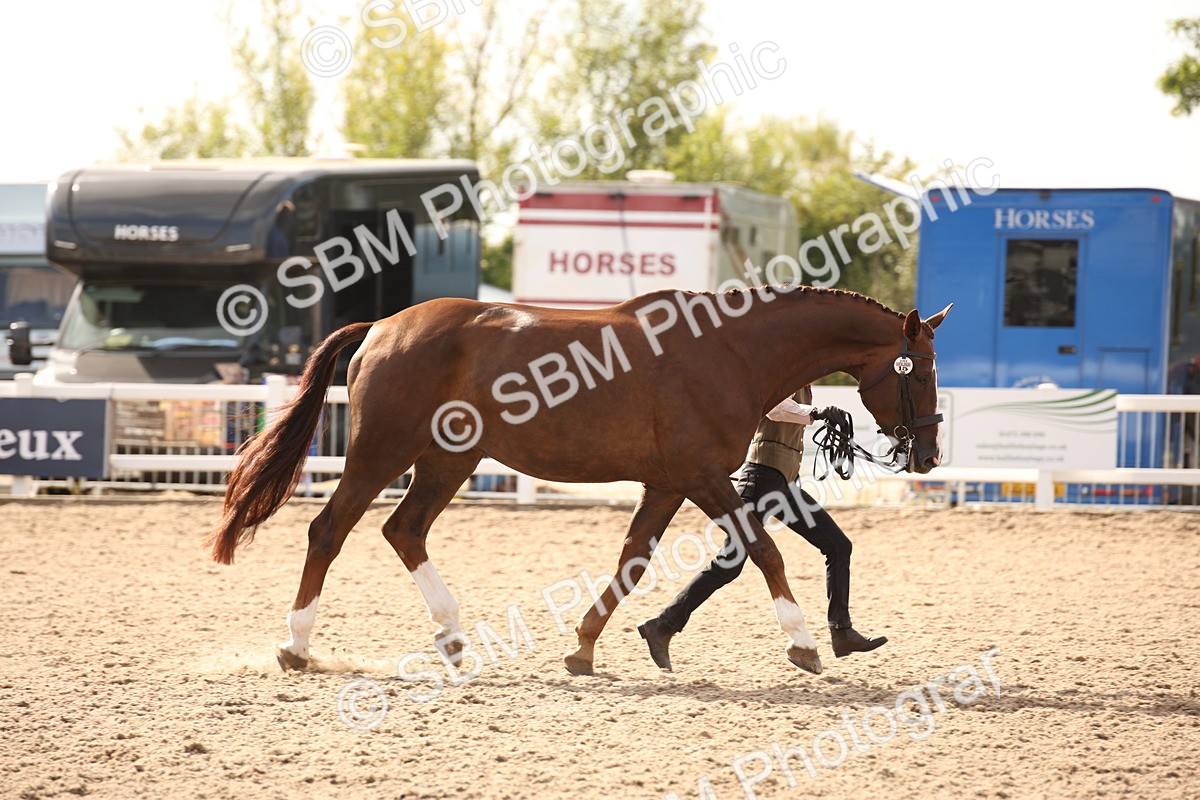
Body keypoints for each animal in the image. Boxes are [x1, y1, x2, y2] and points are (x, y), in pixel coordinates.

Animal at [207, 285, 950, 677]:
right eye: (922, 370)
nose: (929, 456)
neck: (729, 352)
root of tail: (382, 326)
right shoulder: (701, 474)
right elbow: (763, 552)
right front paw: (803, 644)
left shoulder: (667, 483)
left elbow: (633, 560)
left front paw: (586, 646)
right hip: (379, 453)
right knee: (329, 530)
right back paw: (296, 645)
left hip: (448, 460)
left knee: (404, 530)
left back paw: (453, 637)